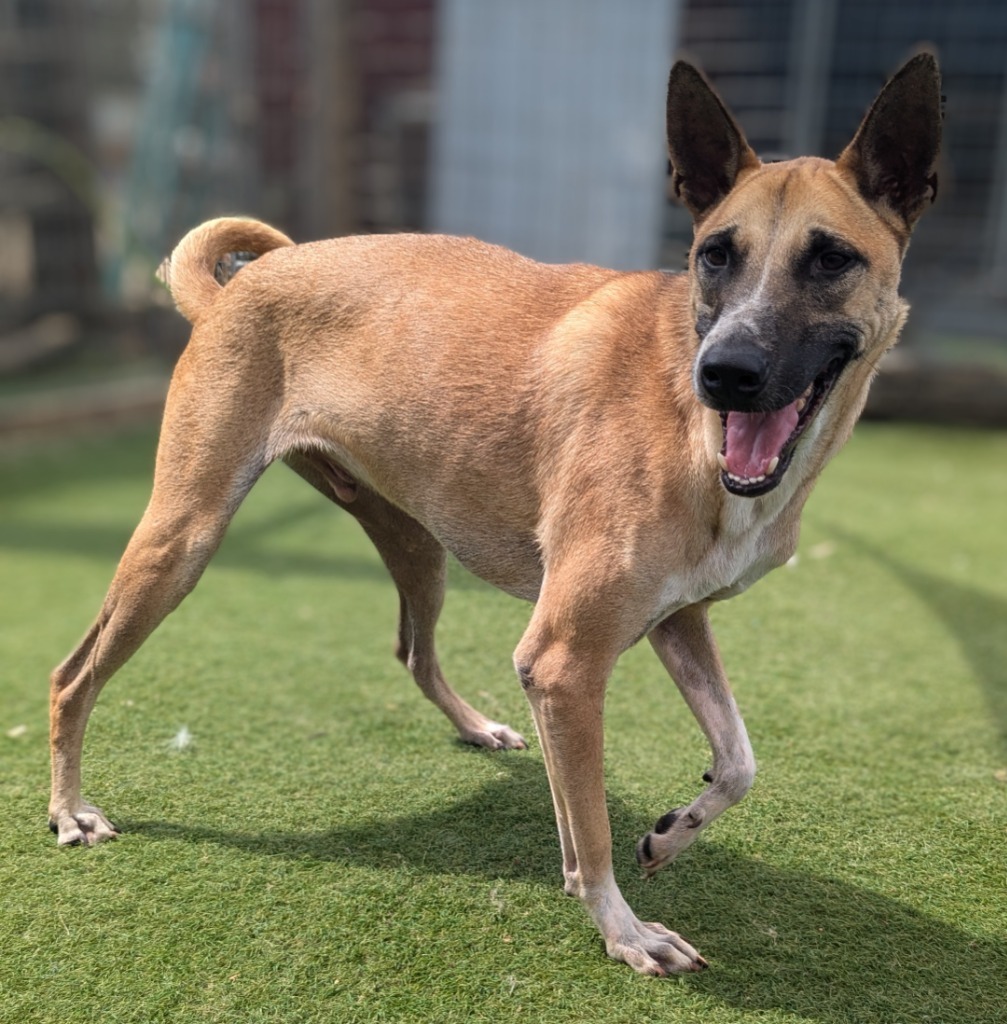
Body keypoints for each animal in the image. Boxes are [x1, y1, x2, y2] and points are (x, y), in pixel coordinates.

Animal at [47, 49, 942, 974]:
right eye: (713, 256)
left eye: (830, 259)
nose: (723, 372)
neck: (686, 421)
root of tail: (236, 287)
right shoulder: (565, 660)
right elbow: (591, 826)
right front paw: (624, 929)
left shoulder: (673, 620)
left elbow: (736, 761)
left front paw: (666, 836)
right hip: (181, 540)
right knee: (71, 675)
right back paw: (70, 810)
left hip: (414, 539)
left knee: (411, 650)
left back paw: (477, 727)